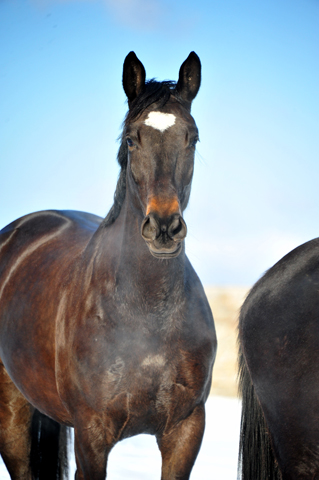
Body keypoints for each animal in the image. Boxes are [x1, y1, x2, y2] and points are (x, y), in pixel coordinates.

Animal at [0, 52, 218, 480]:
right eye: (132, 139)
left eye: (192, 138)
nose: (164, 227)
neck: (145, 313)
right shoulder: (92, 436)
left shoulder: (185, 430)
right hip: (10, 410)